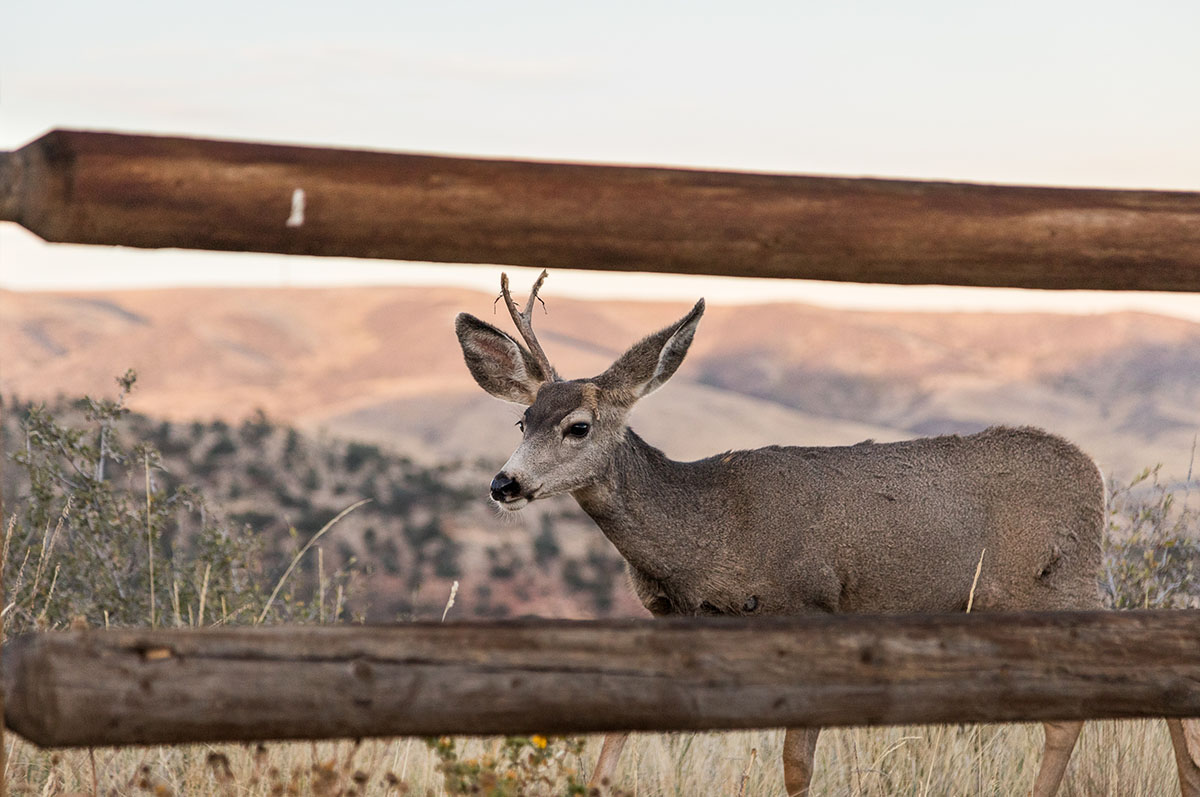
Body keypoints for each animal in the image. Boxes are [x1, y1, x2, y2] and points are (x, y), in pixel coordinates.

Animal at [451, 271, 1200, 792]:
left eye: (577, 426)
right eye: (523, 420)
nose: (504, 484)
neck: (706, 529)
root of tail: (1093, 476)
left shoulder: (809, 603)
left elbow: (795, 766)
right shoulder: (675, 620)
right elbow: (610, 749)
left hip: (1046, 583)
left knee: (1075, 706)